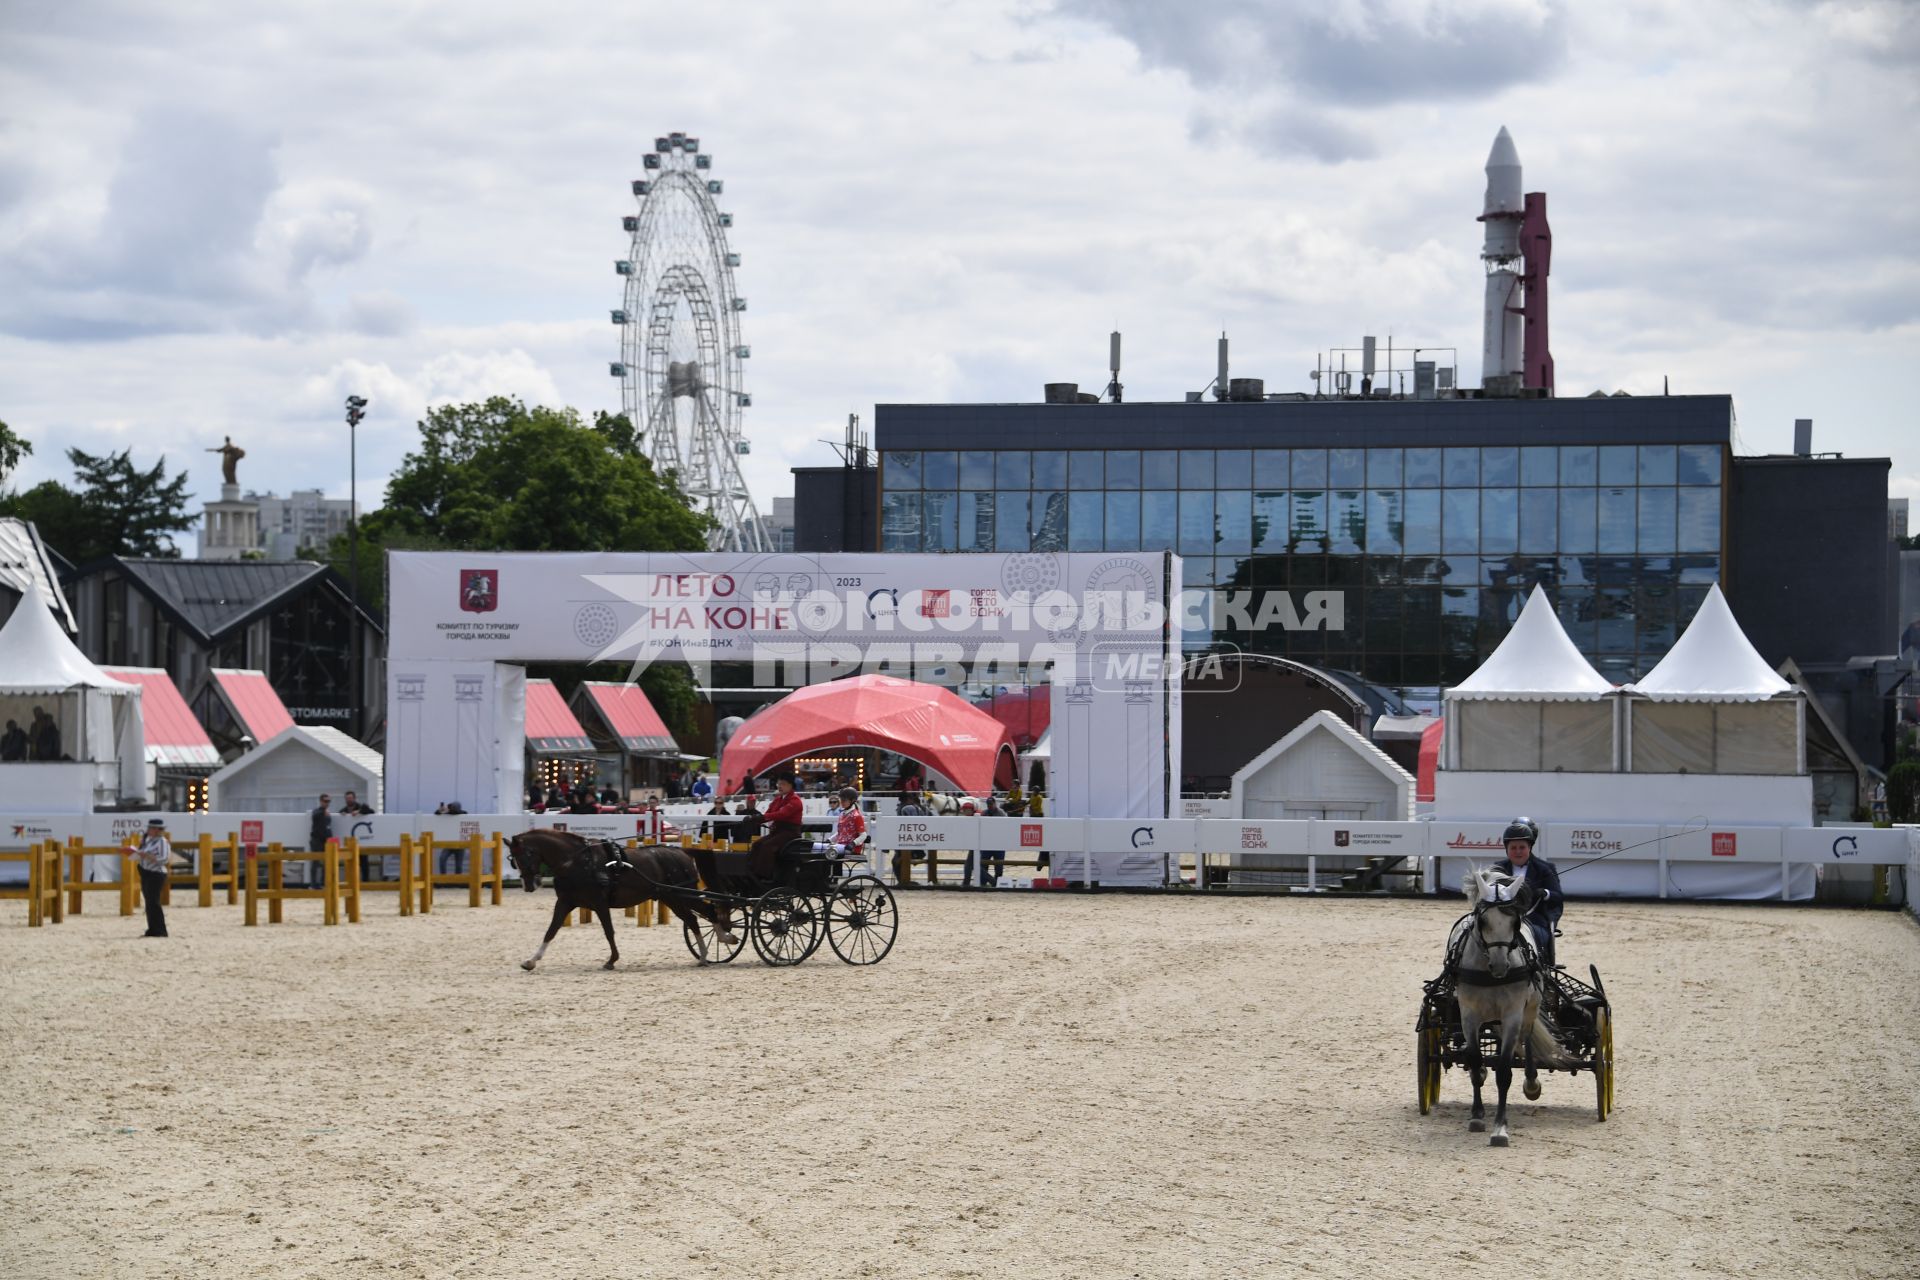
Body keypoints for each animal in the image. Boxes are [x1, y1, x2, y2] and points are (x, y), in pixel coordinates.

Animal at [506, 832, 721, 971]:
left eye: (523, 856)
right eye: (513, 860)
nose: (528, 885)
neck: (577, 861)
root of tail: (682, 853)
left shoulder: (600, 903)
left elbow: (609, 931)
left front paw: (611, 960)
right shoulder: (565, 902)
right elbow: (551, 931)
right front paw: (531, 961)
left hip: (680, 896)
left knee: (709, 913)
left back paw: (715, 945)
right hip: (671, 898)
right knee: (693, 919)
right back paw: (705, 954)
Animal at [1451, 867, 1574, 1143]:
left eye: (1514, 923)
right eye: (1482, 921)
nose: (1500, 966)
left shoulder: (1512, 1017)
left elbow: (1504, 1072)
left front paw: (1500, 1127)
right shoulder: (1468, 1016)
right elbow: (1475, 1061)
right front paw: (1477, 1116)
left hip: (1529, 1009)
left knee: (1527, 1039)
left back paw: (1531, 1082)